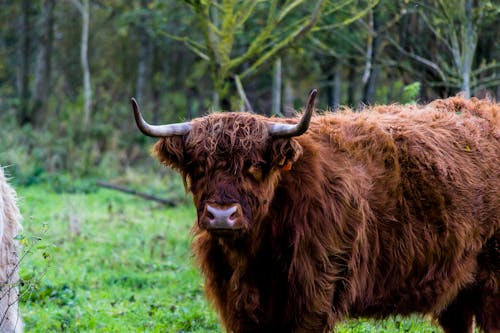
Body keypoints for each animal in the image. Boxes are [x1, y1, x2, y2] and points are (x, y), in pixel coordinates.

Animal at [132, 91, 500, 332]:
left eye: (254, 166)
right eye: (198, 166)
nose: (221, 215)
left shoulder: (314, 296)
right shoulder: (238, 305)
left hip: (493, 280)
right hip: (457, 286)